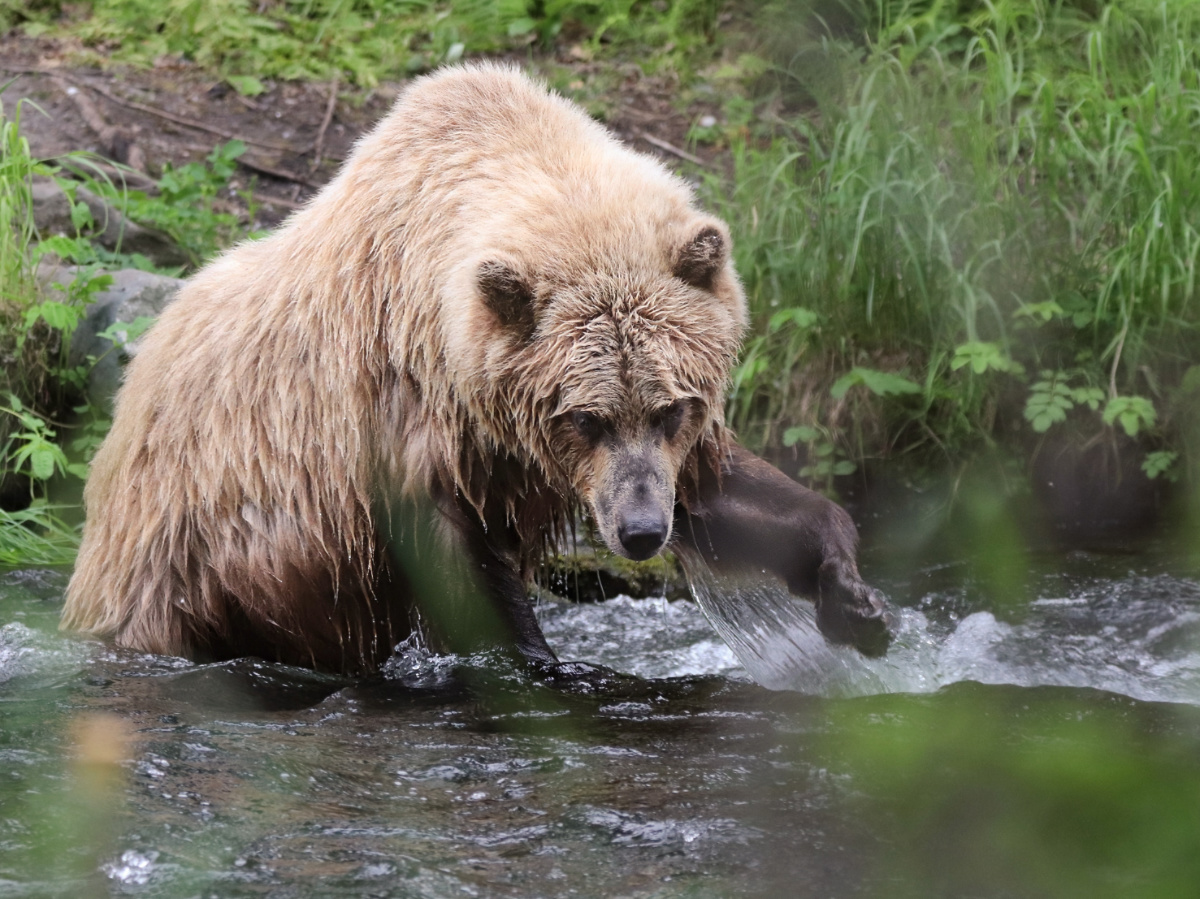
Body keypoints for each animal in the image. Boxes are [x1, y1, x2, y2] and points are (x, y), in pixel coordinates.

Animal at [60, 63, 888, 672]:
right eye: (585, 416)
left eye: (670, 407)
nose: (642, 532)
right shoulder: (406, 428)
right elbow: (466, 578)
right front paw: (548, 663)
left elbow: (725, 490)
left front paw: (851, 596)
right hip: (184, 553)